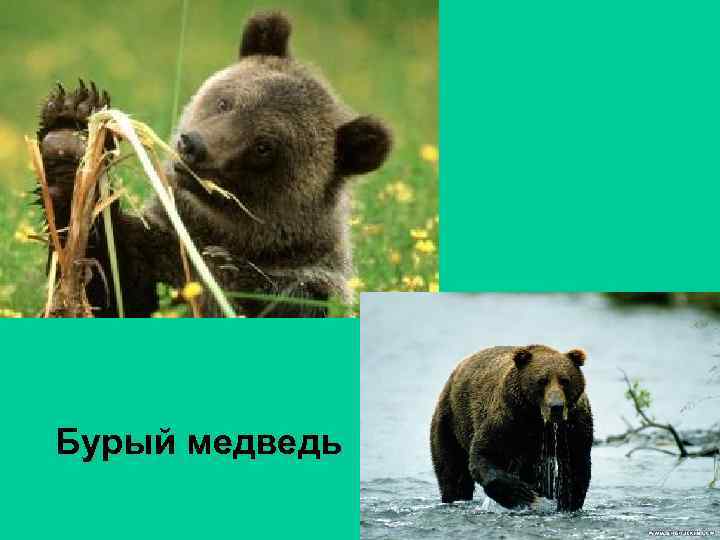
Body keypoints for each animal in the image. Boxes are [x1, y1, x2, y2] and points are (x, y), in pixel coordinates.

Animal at [35, 10, 392, 317]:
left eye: (264, 147)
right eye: (225, 102)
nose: (194, 146)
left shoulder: (308, 282)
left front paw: (230, 268)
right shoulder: (157, 245)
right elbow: (109, 285)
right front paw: (68, 136)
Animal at [430, 345, 593, 512]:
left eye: (565, 380)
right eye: (542, 380)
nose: (556, 407)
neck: (538, 419)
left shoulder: (572, 427)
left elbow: (575, 466)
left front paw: (567, 504)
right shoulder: (509, 419)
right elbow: (484, 454)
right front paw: (521, 493)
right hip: (451, 419)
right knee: (452, 471)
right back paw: (454, 498)